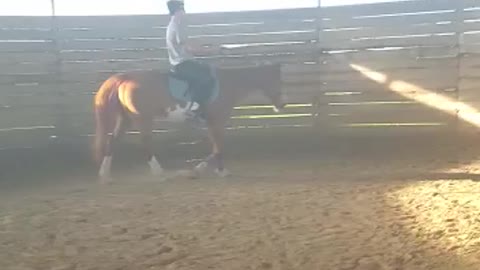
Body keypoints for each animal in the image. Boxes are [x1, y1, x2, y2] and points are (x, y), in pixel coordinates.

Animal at [93, 63, 284, 184]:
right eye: (278, 81)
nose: (282, 105)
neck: (229, 84)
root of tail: (125, 78)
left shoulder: (212, 123)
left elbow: (216, 146)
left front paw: (199, 170)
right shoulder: (218, 121)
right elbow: (219, 146)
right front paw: (216, 171)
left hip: (126, 119)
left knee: (113, 141)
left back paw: (105, 176)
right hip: (142, 118)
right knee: (145, 142)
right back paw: (159, 173)